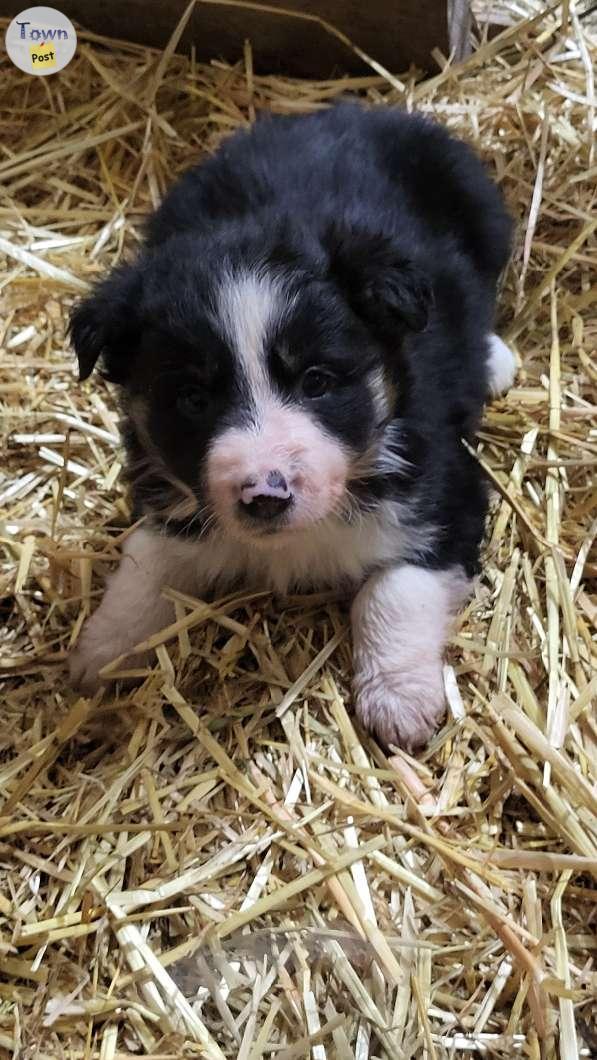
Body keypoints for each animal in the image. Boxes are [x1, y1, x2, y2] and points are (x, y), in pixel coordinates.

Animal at [68, 99, 513, 746]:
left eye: (317, 381)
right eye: (193, 398)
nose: (265, 497)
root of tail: (347, 109)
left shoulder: (448, 489)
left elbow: (392, 588)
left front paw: (398, 698)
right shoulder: (170, 497)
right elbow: (145, 564)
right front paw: (103, 650)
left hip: (486, 216)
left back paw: (495, 359)